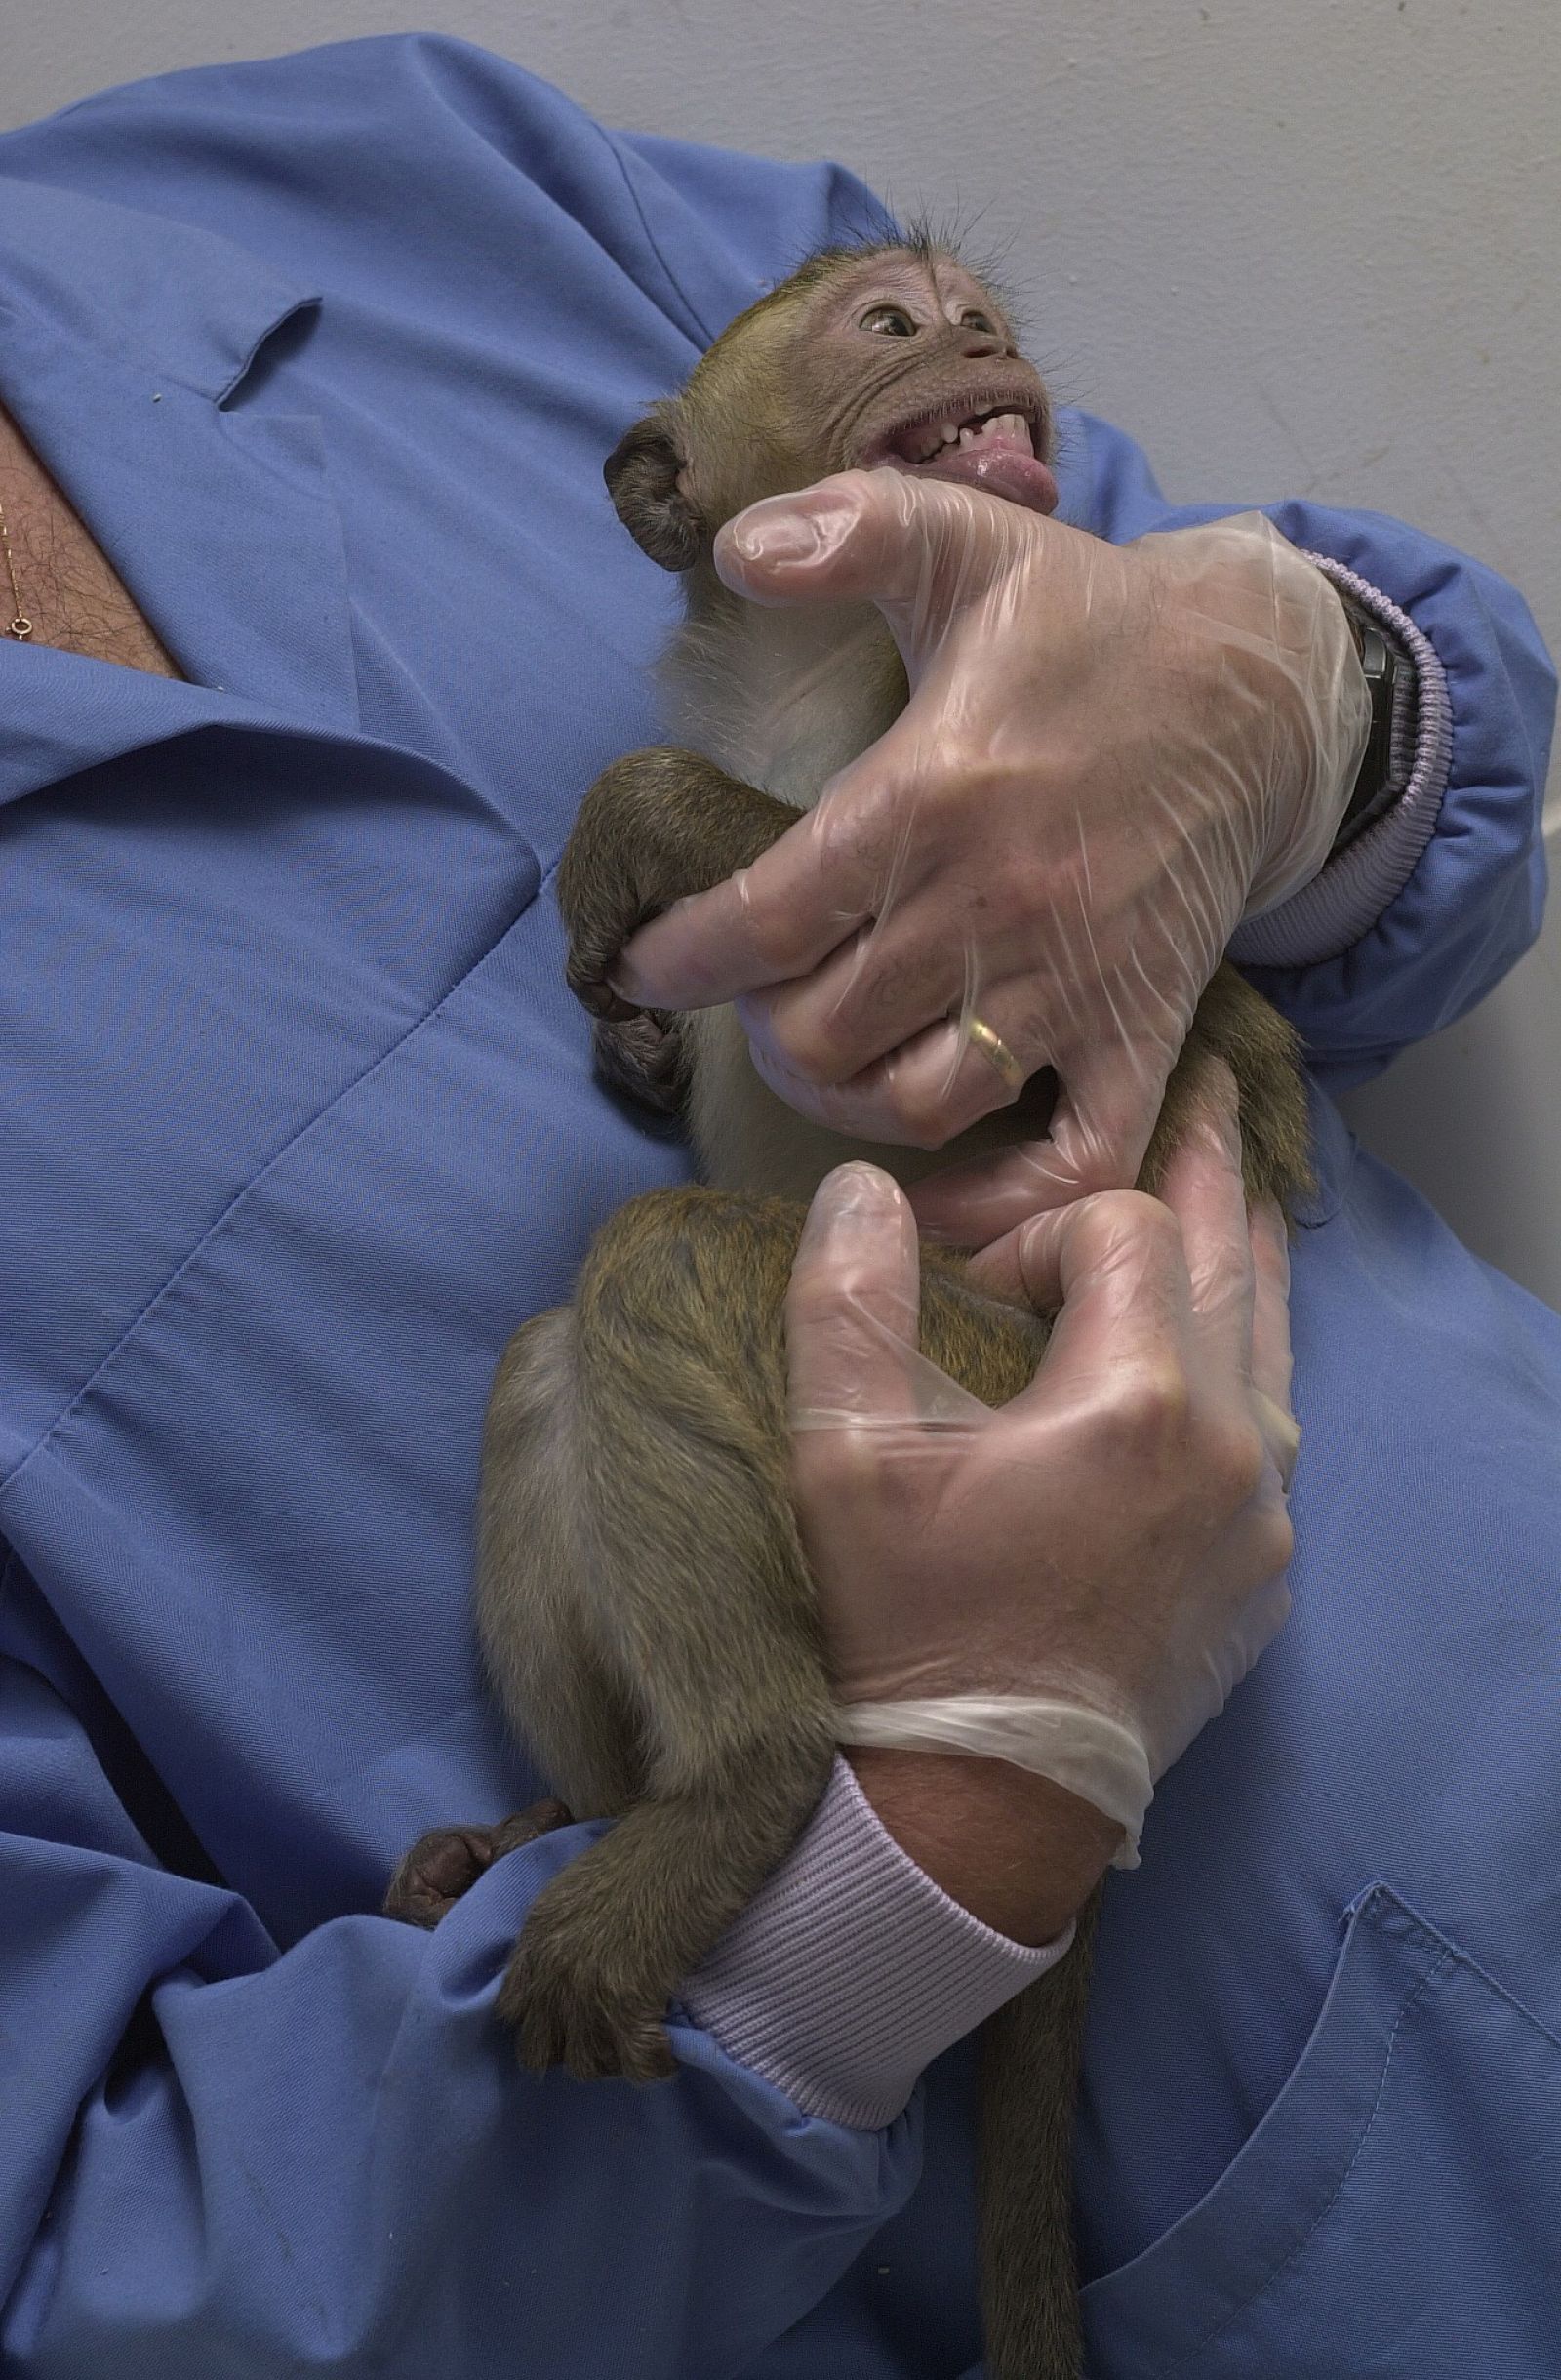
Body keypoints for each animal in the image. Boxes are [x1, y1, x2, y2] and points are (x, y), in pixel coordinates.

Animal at [387, 241, 1303, 2380]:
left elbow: (1058, 1049)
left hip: (964, 1352)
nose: (980, 342)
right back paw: (575, 1807)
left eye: (972, 319)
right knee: (551, 1364)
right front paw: (629, 1024)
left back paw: (741, 1784)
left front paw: (637, 831)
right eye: (891, 326)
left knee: (646, 1268)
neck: (816, 682)